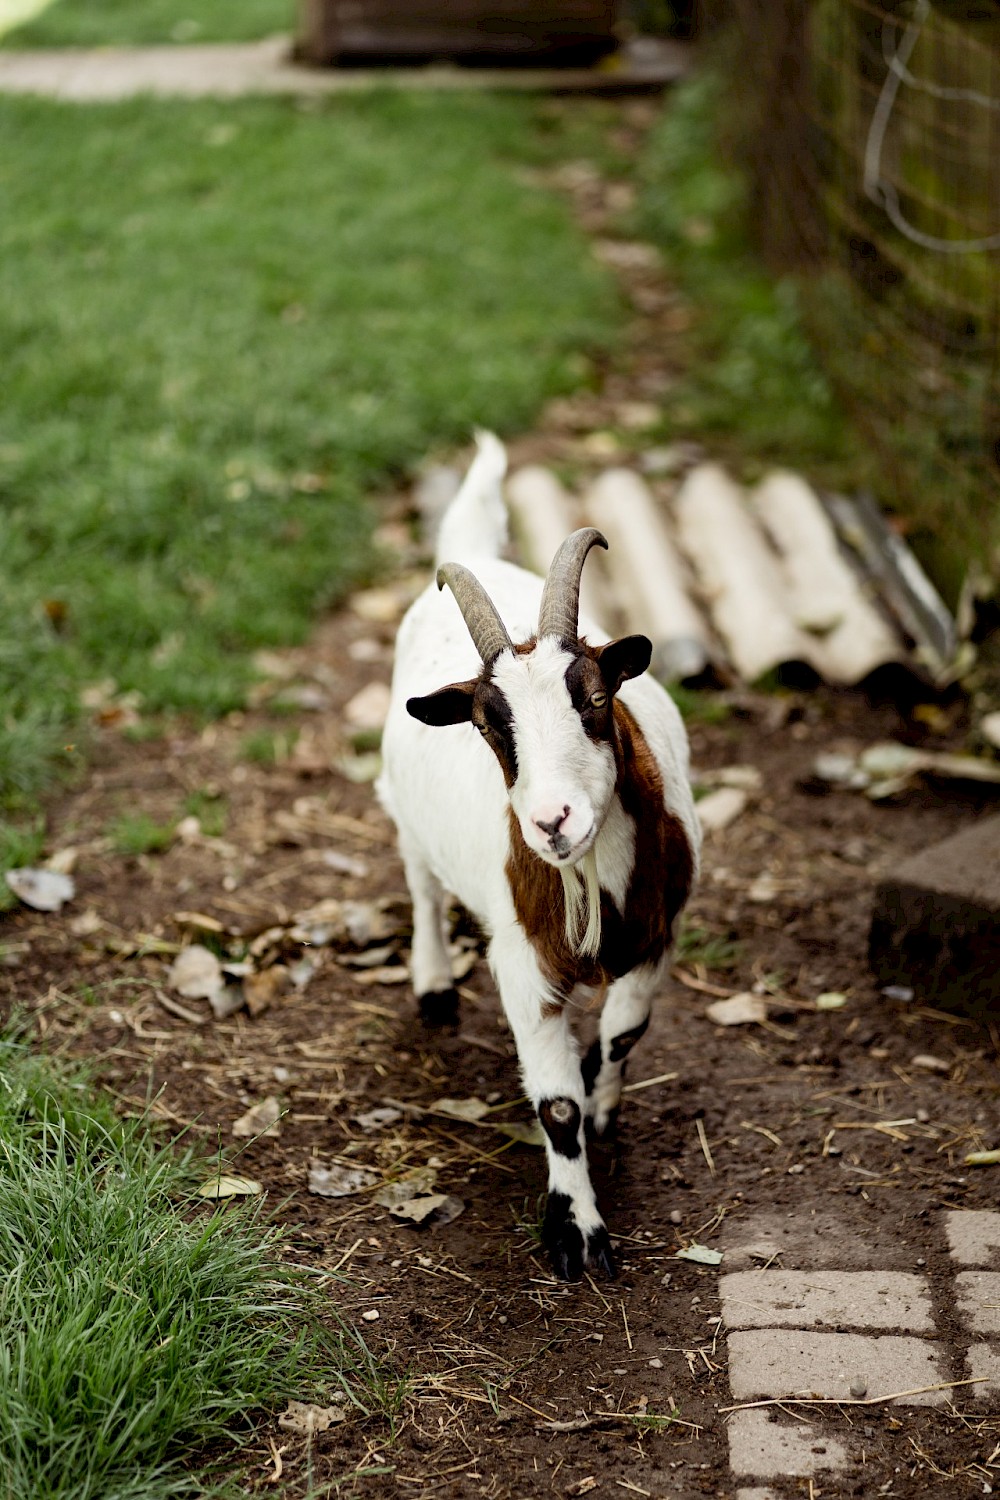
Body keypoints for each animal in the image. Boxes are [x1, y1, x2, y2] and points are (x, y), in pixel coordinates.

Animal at [379, 435, 701, 1278]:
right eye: (490, 725)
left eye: (593, 697)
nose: (553, 821)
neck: (587, 882)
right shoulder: (525, 970)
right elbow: (554, 1107)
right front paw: (577, 1232)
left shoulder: (655, 937)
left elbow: (622, 1038)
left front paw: (606, 1107)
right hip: (402, 811)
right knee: (421, 886)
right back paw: (432, 987)